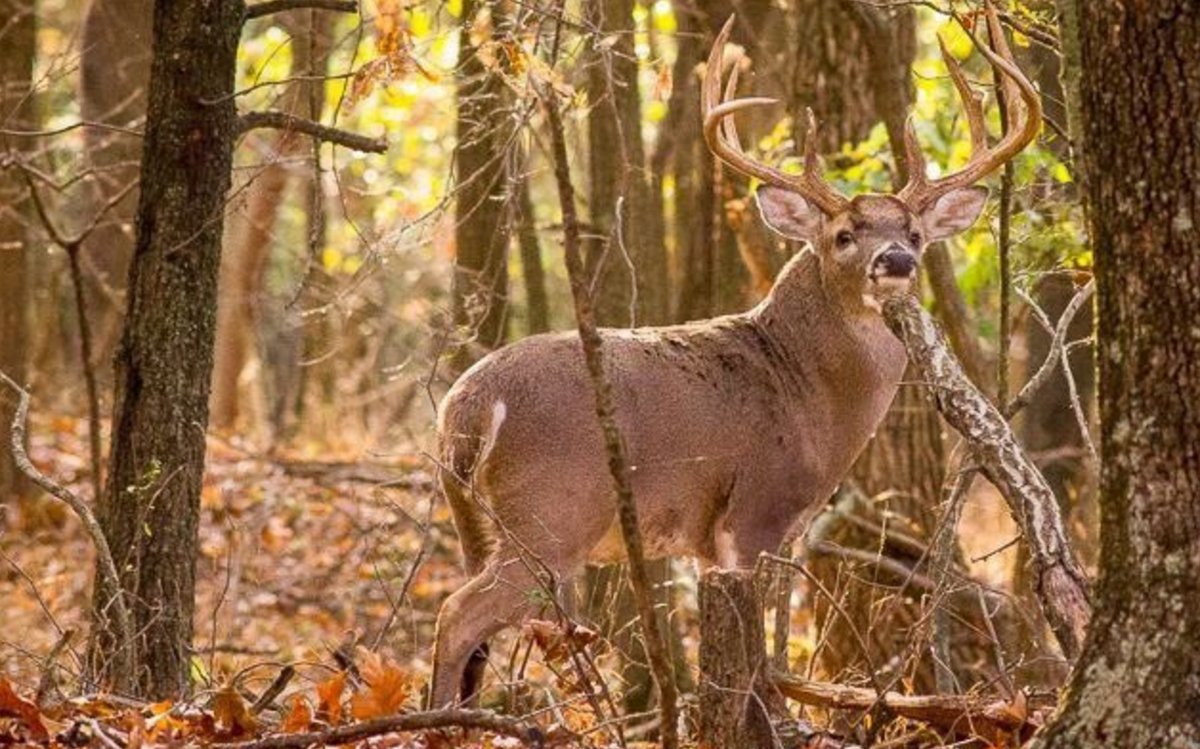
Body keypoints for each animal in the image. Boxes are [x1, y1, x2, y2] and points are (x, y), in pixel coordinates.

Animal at [428, 5, 1040, 708]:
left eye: (914, 233)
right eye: (844, 235)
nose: (896, 261)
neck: (810, 395)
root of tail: (468, 406)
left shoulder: (716, 540)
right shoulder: (755, 512)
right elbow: (763, 656)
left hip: (476, 522)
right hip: (551, 516)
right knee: (456, 615)